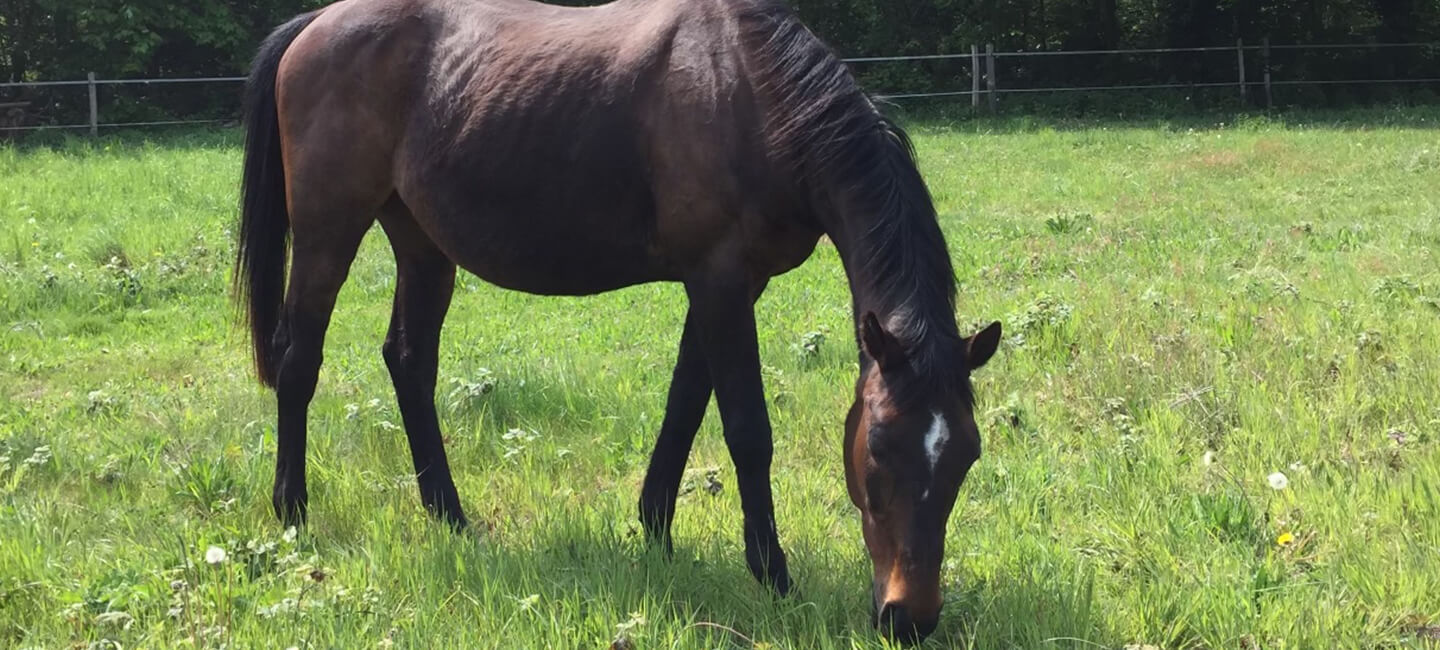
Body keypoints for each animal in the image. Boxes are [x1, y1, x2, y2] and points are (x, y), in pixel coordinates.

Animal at [236, 0, 1002, 639]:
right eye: (878, 453)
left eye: (966, 455)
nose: (910, 619)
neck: (753, 96)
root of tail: (313, 24)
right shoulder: (721, 281)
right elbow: (746, 430)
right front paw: (773, 575)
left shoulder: (727, 284)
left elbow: (685, 406)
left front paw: (656, 530)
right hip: (329, 232)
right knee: (300, 361)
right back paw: (293, 513)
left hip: (422, 243)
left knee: (409, 362)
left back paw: (450, 517)